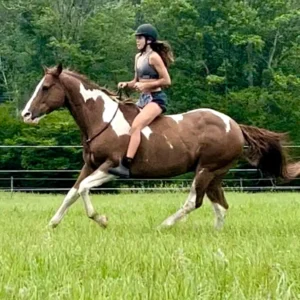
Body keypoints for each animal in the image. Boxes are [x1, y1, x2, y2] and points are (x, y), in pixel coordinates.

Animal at [21, 62, 300, 227]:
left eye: (46, 87)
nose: (26, 114)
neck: (101, 118)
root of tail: (234, 126)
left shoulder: (111, 167)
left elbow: (84, 189)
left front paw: (101, 219)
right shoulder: (90, 165)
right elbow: (73, 192)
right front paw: (52, 224)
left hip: (206, 170)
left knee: (194, 202)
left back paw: (164, 225)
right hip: (215, 173)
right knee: (220, 205)